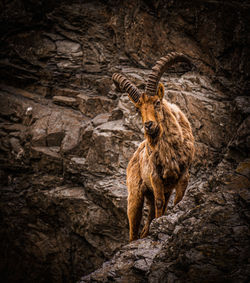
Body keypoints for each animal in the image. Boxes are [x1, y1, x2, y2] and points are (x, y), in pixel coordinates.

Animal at [112, 51, 195, 242]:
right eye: (137, 109)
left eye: (157, 102)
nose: (149, 125)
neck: (169, 150)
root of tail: (132, 158)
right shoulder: (156, 176)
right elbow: (159, 203)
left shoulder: (182, 175)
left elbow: (177, 201)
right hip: (135, 196)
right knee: (134, 228)